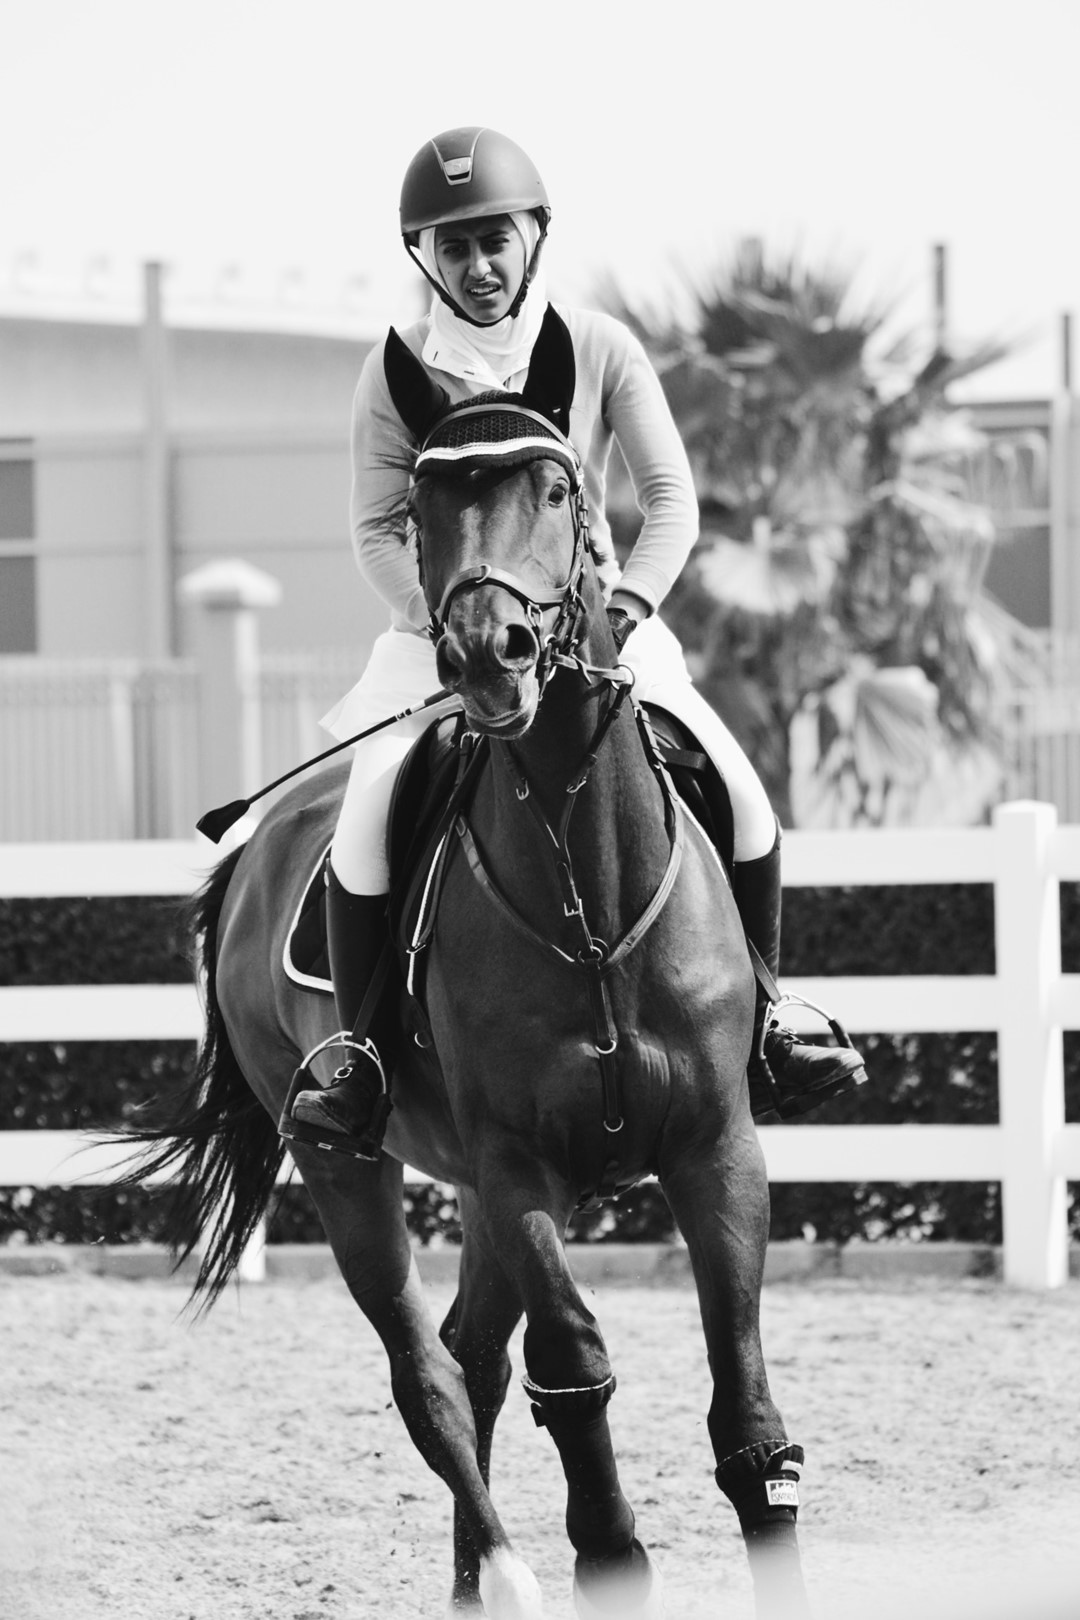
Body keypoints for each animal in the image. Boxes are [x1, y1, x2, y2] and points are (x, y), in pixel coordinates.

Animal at [130, 307, 812, 1620]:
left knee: (470, 1354)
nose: (488, 654)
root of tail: (252, 853)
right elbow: (576, 1363)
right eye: (425, 501)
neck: (587, 890)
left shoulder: (716, 1147)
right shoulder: (516, 1166)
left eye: (557, 484)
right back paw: (503, 1570)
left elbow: (743, 1399)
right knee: (431, 1376)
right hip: (349, 1163)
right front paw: (607, 1549)